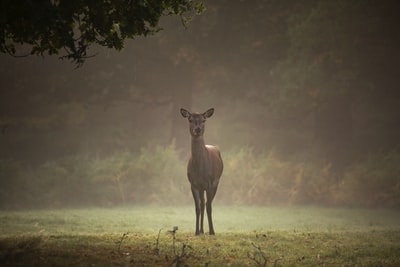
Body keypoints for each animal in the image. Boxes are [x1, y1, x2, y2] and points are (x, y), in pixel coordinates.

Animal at [180, 108, 223, 236]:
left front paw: (212, 231)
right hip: (201, 188)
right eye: (190, 119)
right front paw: (196, 232)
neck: (200, 170)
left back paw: (207, 230)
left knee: (208, 204)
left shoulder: (209, 183)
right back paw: (202, 230)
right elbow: (197, 208)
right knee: (203, 204)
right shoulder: (193, 184)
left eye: (204, 120)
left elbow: (209, 207)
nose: (198, 129)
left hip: (216, 183)